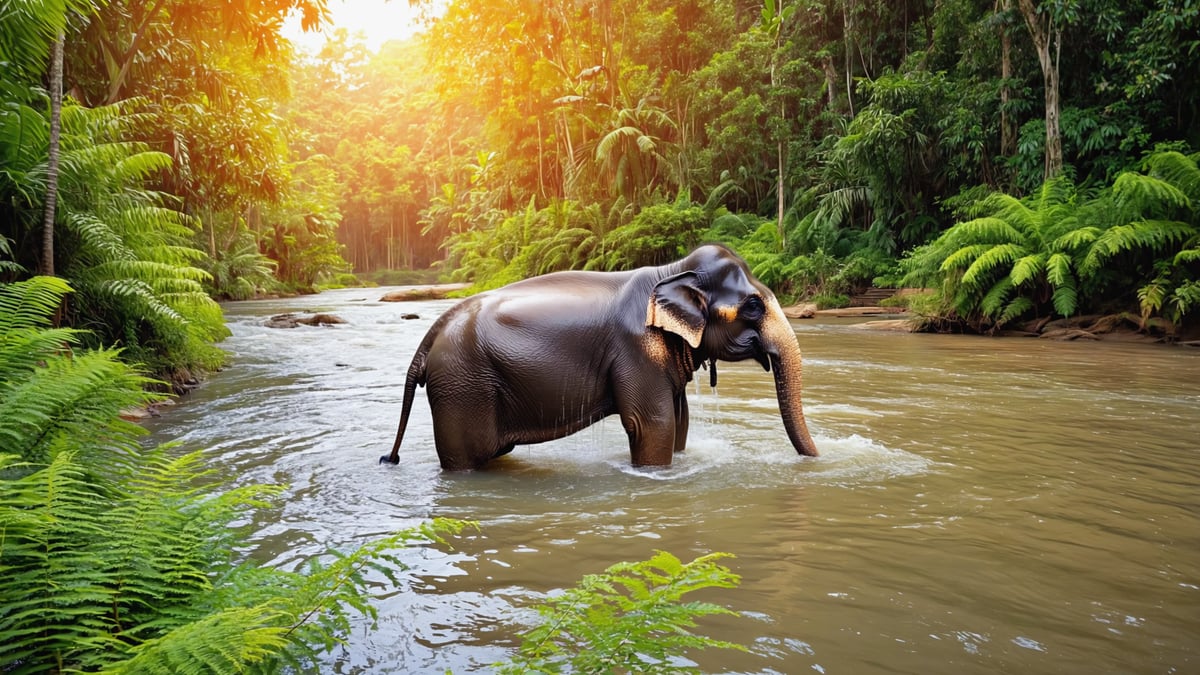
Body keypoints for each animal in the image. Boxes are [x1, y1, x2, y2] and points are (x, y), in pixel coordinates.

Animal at [380, 244, 820, 470]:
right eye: (753, 306)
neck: (672, 270)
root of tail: (430, 336)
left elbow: (679, 421)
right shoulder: (636, 348)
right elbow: (653, 424)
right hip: (461, 387)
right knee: (467, 458)